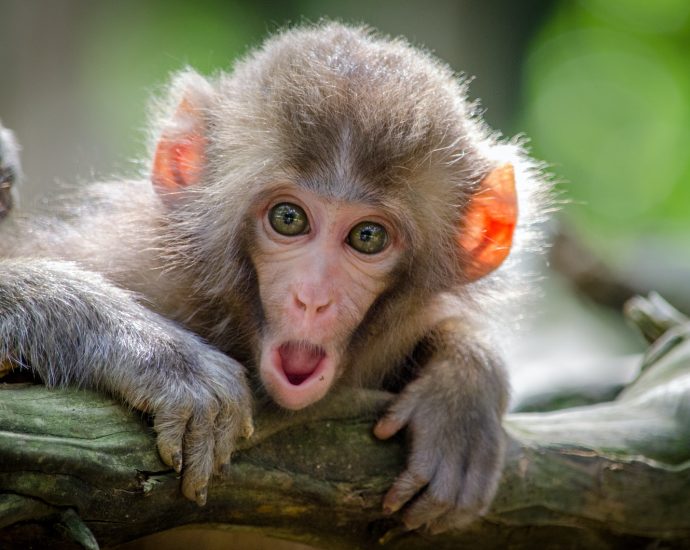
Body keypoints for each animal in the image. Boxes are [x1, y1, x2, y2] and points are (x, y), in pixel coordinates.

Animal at [1, 22, 548, 536]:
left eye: (368, 237)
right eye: (289, 219)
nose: (313, 297)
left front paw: (463, 391)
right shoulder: (129, 261)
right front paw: (158, 355)